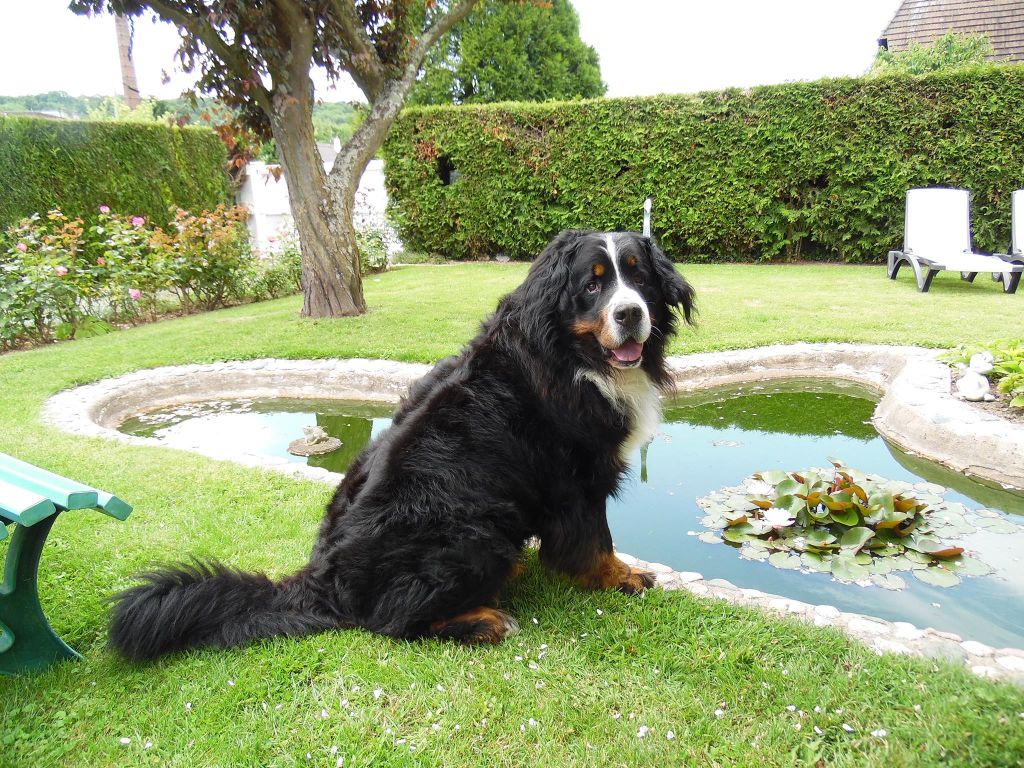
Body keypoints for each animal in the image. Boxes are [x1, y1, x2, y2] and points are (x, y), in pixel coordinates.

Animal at [110, 230, 696, 663]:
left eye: (637, 275)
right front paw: (621, 577)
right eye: (591, 287)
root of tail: (324, 578)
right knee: (389, 621)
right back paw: (483, 621)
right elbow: (595, 540)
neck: (573, 358)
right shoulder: (576, 477)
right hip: (474, 531)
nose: (629, 314)